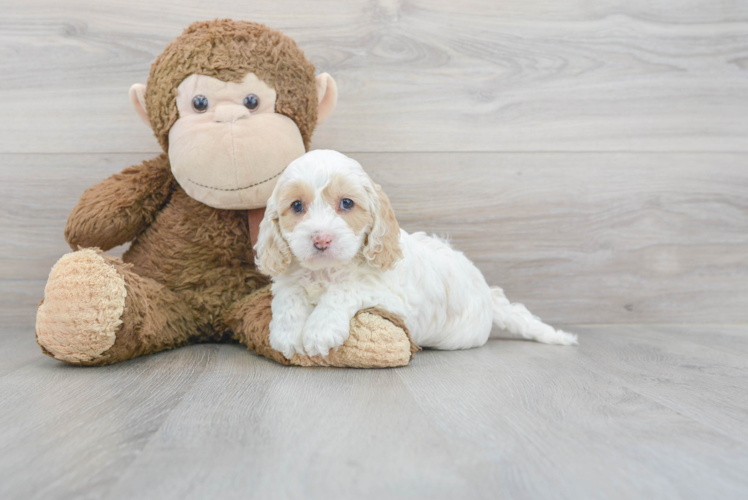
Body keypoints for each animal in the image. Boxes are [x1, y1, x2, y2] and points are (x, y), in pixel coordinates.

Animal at [254, 149, 576, 360]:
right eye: (297, 206)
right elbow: (288, 297)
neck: (325, 270)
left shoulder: (392, 297)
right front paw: (287, 334)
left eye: (346, 203)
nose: (321, 239)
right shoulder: (288, 279)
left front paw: (319, 330)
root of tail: (486, 292)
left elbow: (346, 289)